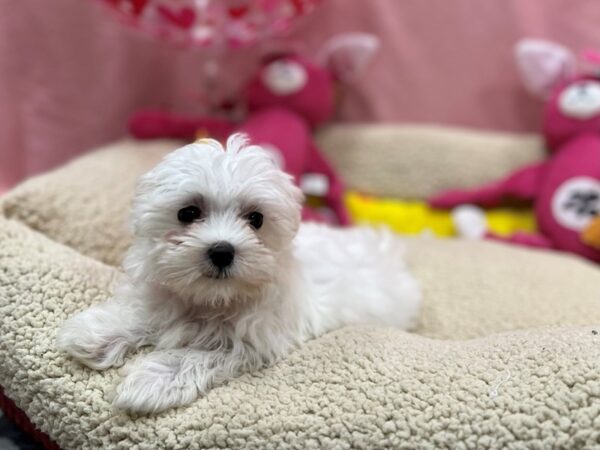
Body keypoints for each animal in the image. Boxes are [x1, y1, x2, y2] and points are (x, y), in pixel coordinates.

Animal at [57, 134, 422, 414]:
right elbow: (145, 312)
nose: (222, 251)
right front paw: (95, 333)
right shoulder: (166, 295)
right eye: (188, 213)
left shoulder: (253, 342)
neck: (212, 299)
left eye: (256, 219)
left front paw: (151, 381)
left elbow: (195, 356)